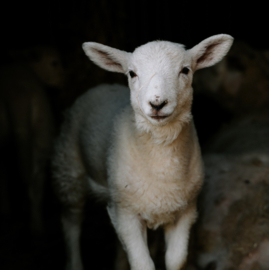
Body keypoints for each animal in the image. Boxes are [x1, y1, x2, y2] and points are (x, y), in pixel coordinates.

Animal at [51, 34, 232, 270]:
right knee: (71, 221)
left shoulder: (185, 210)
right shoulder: (127, 213)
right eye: (132, 73)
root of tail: (102, 86)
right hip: (68, 171)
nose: (157, 103)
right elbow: (143, 264)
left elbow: (176, 260)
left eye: (185, 70)